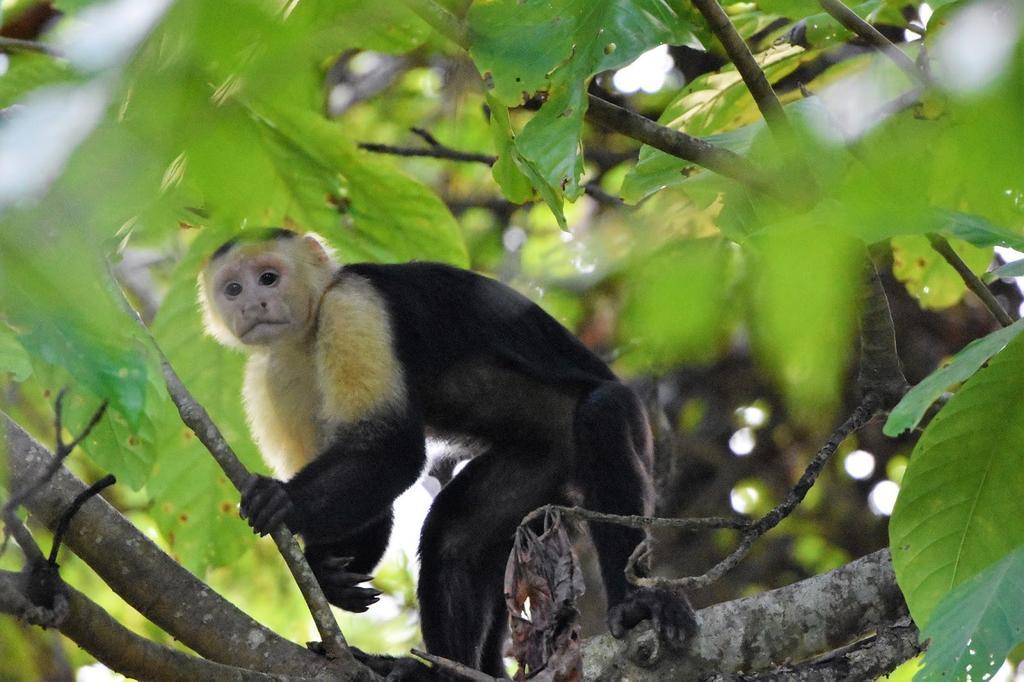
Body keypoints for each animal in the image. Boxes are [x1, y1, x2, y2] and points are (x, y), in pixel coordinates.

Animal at [199, 227, 696, 675]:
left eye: (268, 278)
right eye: (233, 288)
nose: (253, 304)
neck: (310, 325)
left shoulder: (354, 308)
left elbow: (392, 449)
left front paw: (283, 500)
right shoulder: (276, 373)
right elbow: (371, 477)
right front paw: (327, 571)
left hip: (629, 431)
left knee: (603, 414)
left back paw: (636, 603)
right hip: (541, 466)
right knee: (453, 539)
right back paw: (448, 669)